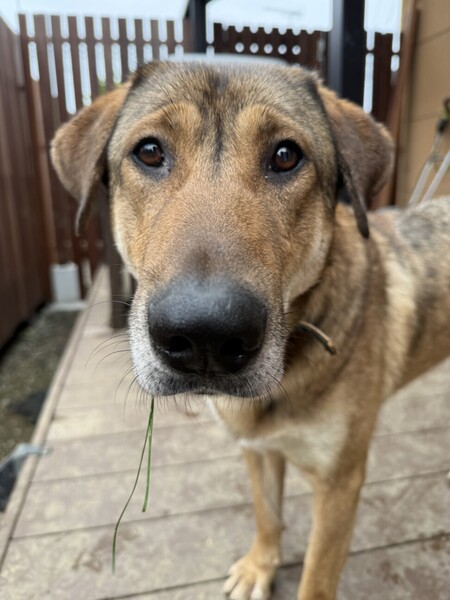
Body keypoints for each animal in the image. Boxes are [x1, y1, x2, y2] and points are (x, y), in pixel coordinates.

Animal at [51, 61, 450, 600]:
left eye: (285, 156)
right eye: (149, 151)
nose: (206, 337)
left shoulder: (340, 483)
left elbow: (316, 579)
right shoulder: (257, 449)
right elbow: (267, 514)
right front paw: (261, 566)